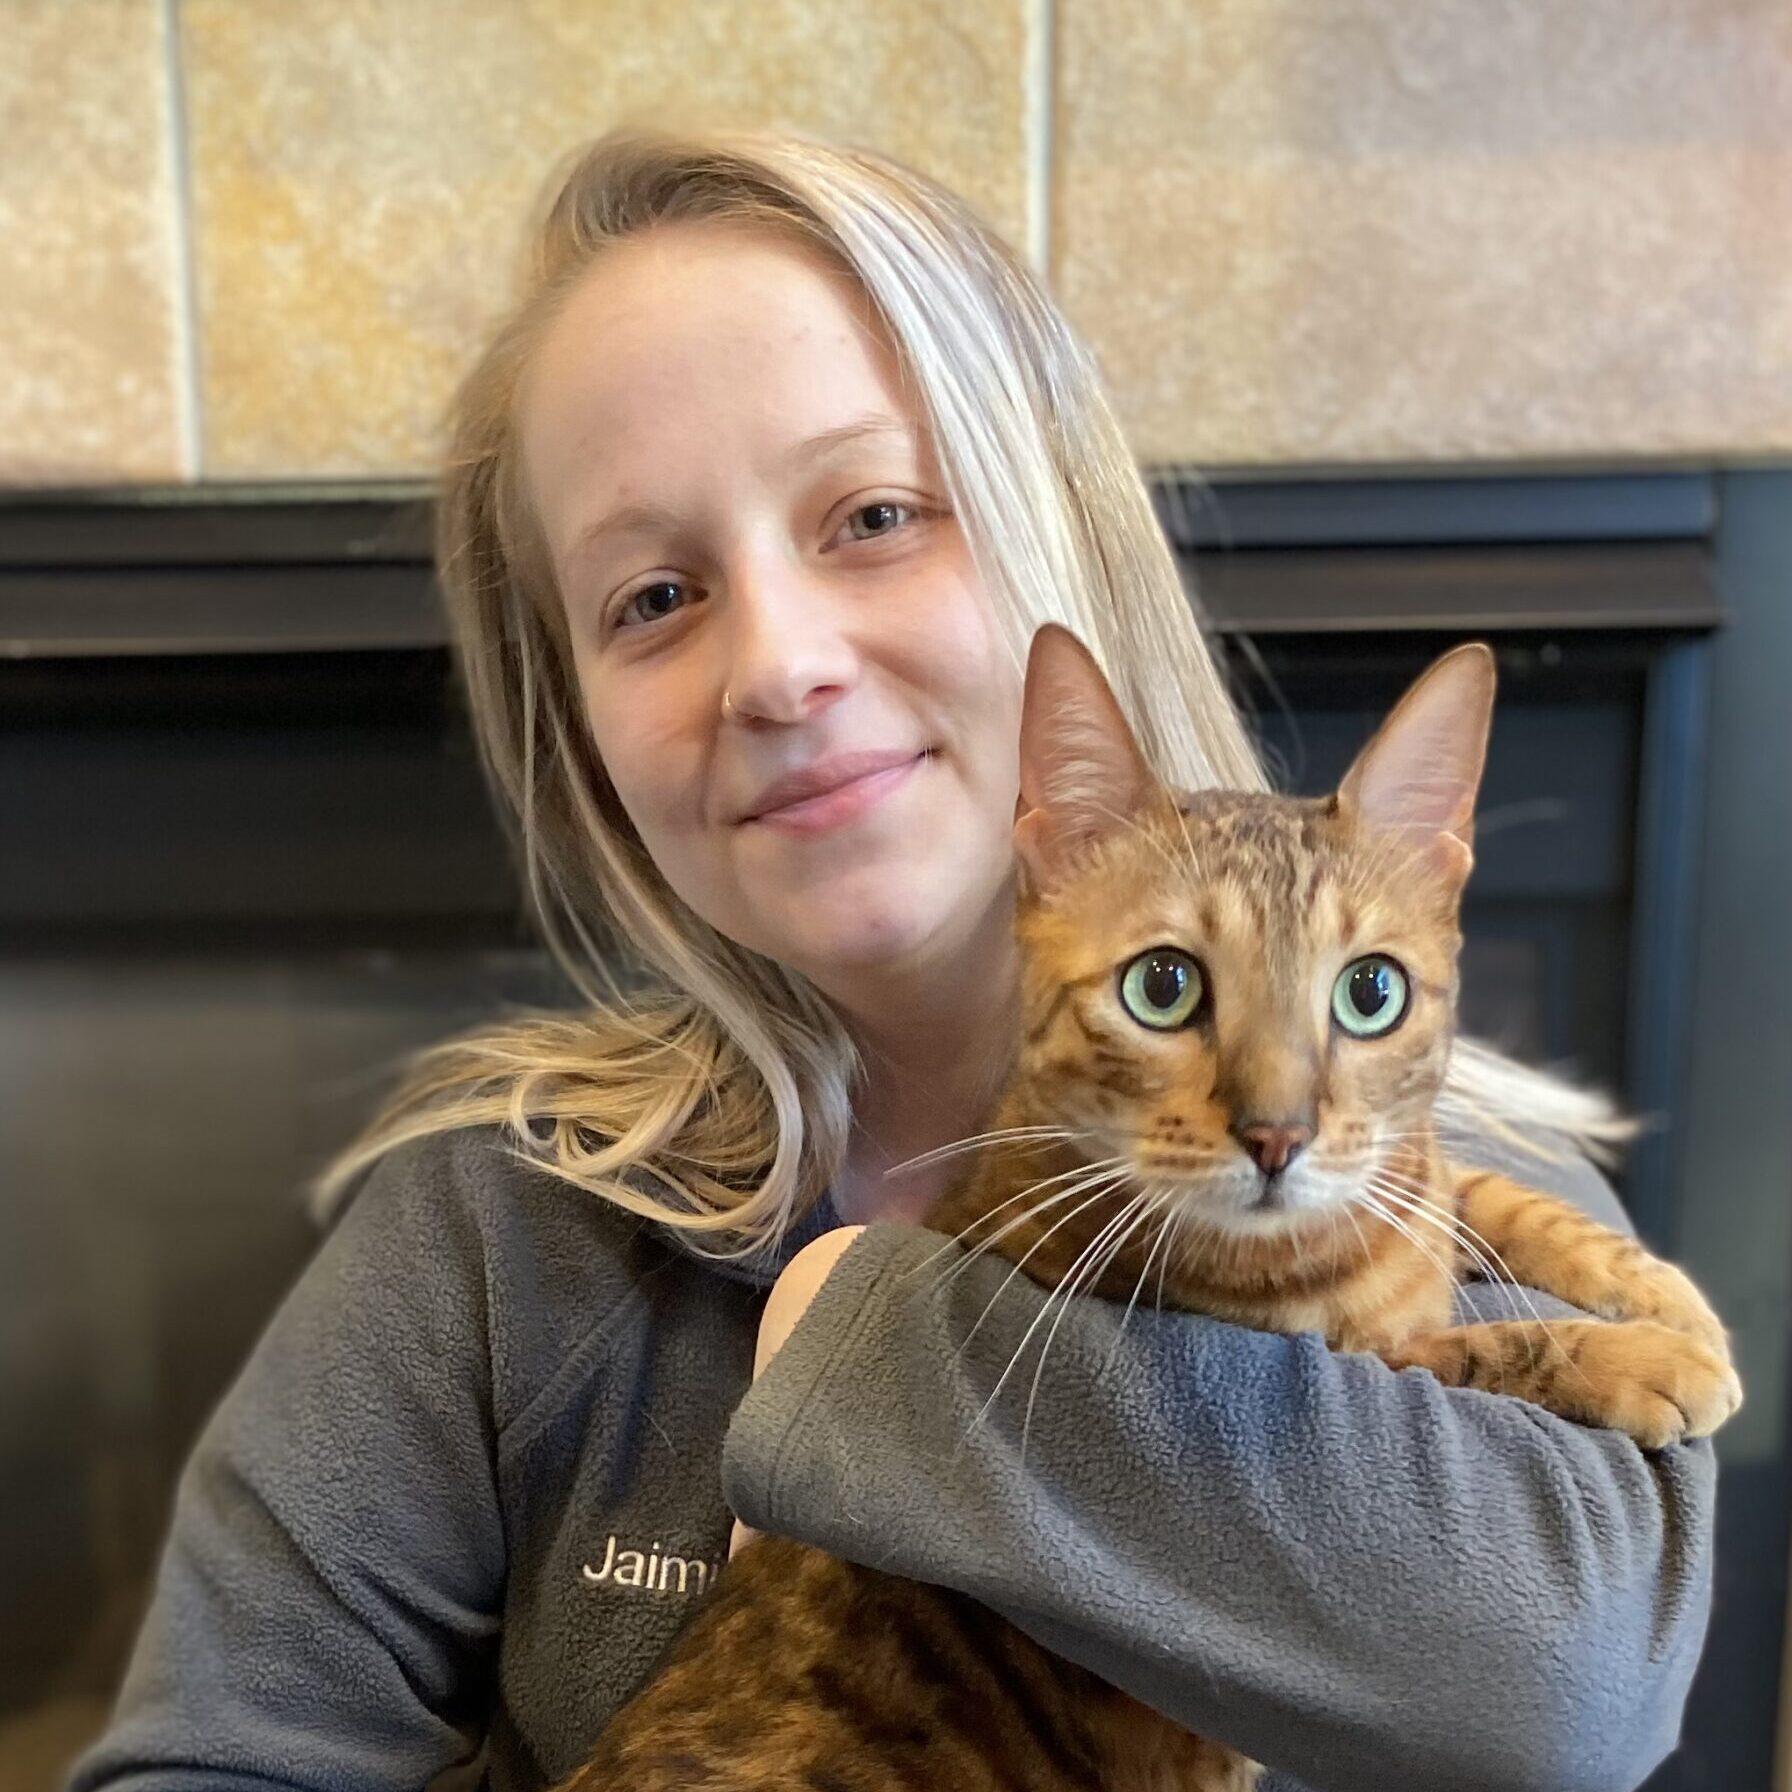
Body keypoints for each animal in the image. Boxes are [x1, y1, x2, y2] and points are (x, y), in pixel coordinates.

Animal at [559, 623, 1734, 1784]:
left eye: (1371, 992)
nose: (1276, 1135)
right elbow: (1453, 1351)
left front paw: (1663, 1294)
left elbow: (1477, 1190)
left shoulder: (1406, 1178)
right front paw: (1645, 1358)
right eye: (1162, 986)